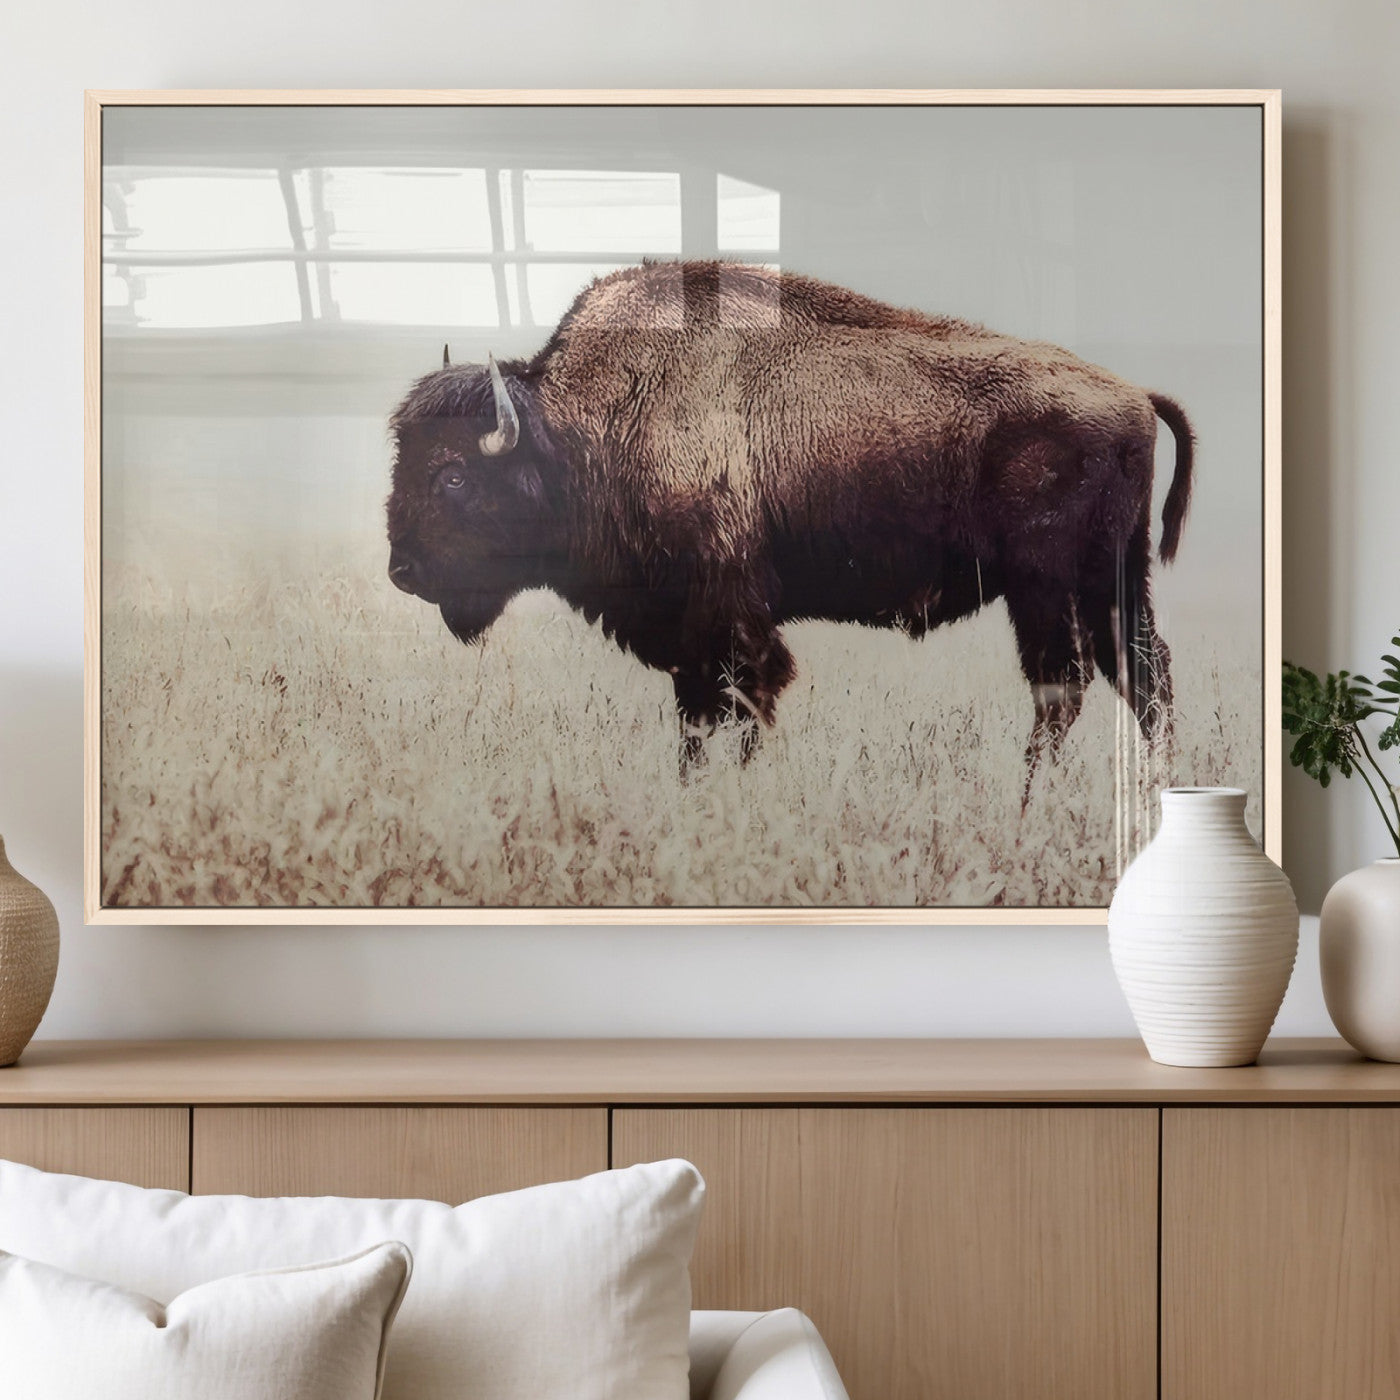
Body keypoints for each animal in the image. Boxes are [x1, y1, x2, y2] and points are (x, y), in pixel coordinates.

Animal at [386, 261, 1193, 777]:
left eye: (453, 475)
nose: (402, 571)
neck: (590, 424)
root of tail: (1133, 393)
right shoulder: (690, 634)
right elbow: (697, 715)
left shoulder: (731, 615)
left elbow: (744, 701)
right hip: (1113, 580)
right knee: (1142, 675)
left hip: (1044, 586)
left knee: (1064, 684)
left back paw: (1029, 798)